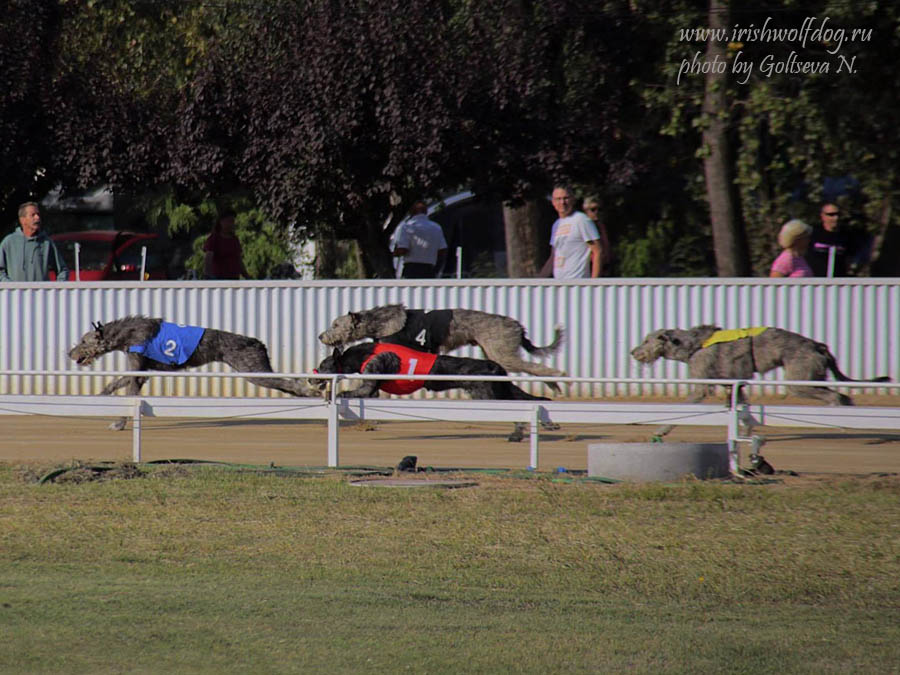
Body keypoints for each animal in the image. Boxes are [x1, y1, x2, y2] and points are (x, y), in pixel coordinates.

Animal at [320, 304, 568, 394]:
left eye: (335, 325)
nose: (321, 336)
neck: (378, 320)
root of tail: (517, 325)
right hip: (492, 352)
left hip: (502, 351)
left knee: (533, 366)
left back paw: (558, 380)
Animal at [628, 326, 888, 438]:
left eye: (647, 340)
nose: (633, 352)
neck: (692, 345)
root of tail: (818, 345)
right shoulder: (734, 384)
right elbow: (742, 410)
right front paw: (746, 431)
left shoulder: (702, 382)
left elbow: (685, 406)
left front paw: (660, 430)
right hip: (812, 377)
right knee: (844, 396)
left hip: (800, 382)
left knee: (835, 396)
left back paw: (841, 423)